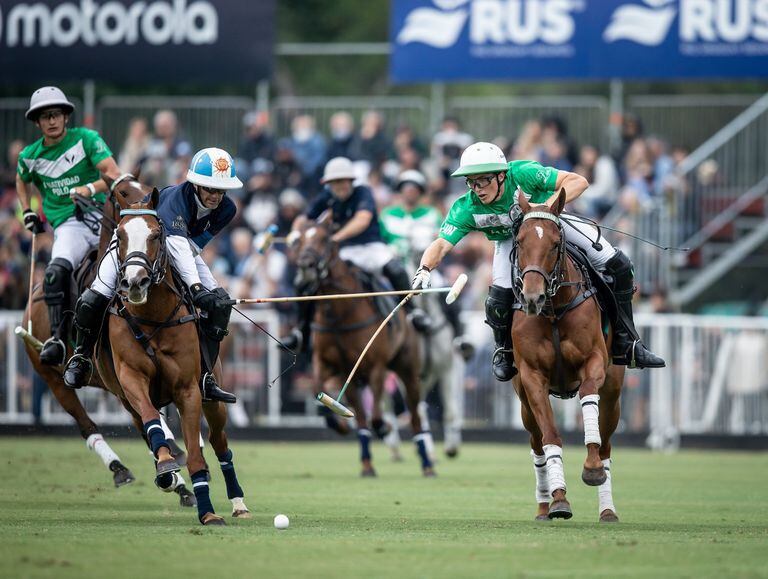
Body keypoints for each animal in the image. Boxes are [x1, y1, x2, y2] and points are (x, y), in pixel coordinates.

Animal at [92, 182, 249, 524]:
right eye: (119, 235)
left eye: (155, 234)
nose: (134, 282)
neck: (152, 316)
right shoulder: (132, 379)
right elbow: (154, 424)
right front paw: (166, 465)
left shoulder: (187, 388)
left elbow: (196, 455)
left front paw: (208, 513)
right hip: (127, 399)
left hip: (213, 399)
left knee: (220, 445)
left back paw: (238, 502)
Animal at [292, 215, 438, 478]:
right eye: (298, 240)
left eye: (324, 239)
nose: (305, 270)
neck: (339, 316)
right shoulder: (333, 366)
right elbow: (322, 394)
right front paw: (341, 426)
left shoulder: (376, 367)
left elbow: (378, 418)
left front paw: (386, 428)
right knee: (362, 417)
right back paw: (368, 463)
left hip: (407, 369)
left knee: (414, 417)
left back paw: (427, 464)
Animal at [510, 188, 624, 524]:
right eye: (519, 241)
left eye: (554, 243)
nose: (532, 297)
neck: (554, 311)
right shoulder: (532, 377)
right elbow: (551, 436)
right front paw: (559, 500)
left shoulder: (594, 363)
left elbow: (588, 399)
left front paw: (592, 469)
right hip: (522, 401)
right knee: (536, 444)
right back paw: (543, 507)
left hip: (614, 392)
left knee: (607, 443)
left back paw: (608, 509)